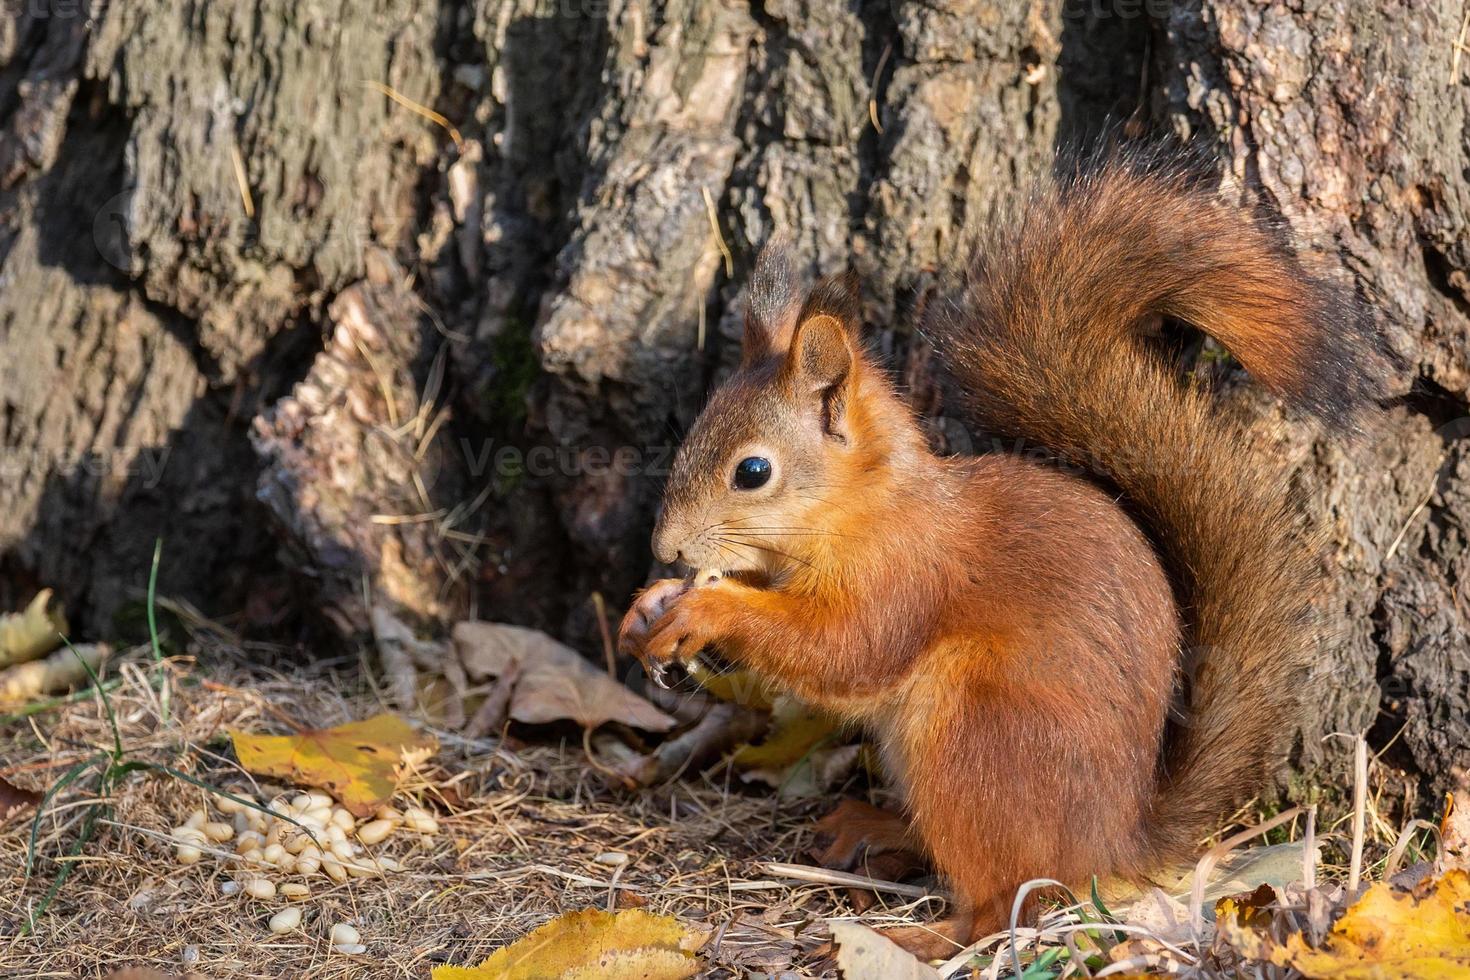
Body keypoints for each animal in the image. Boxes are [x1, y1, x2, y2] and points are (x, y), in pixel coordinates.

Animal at [614, 155, 1381, 957]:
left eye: (753, 471)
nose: (665, 548)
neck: (864, 508)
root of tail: (1113, 845)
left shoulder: (906, 575)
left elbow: (843, 650)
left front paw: (705, 608)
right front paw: (646, 610)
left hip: (976, 735)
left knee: (1003, 902)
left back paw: (917, 939)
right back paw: (872, 826)